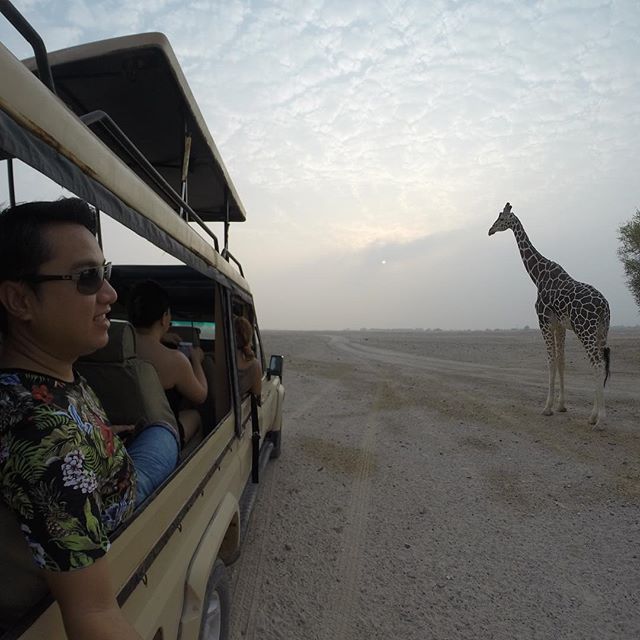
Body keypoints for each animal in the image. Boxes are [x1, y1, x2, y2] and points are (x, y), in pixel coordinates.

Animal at [490, 202, 608, 428]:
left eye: (500, 218)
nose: (489, 230)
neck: (537, 276)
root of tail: (604, 307)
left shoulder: (543, 320)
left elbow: (550, 361)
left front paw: (547, 408)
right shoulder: (560, 325)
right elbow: (561, 361)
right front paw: (561, 406)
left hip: (585, 329)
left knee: (597, 364)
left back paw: (598, 419)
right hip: (601, 331)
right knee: (604, 364)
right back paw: (595, 416)